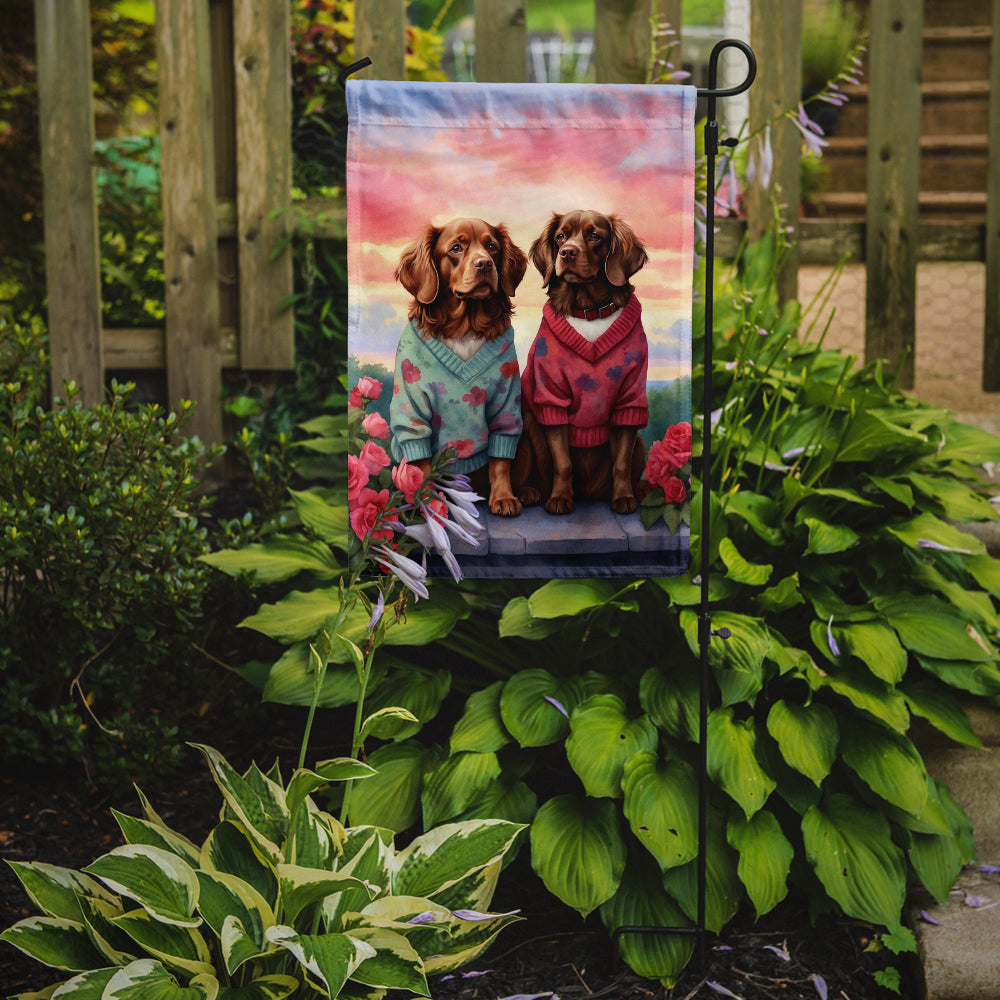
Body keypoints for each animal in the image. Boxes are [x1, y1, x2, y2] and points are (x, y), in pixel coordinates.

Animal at [390, 219, 532, 516]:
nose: (485, 264)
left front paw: (503, 497)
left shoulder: (505, 403)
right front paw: (428, 502)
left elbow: (500, 460)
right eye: (456, 248)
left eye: (492, 246)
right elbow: (422, 465)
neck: (464, 327)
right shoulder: (413, 411)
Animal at [520, 215, 652, 520]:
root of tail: (590, 494)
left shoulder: (629, 403)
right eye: (560, 236)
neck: (589, 311)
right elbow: (563, 462)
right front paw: (559, 498)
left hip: (640, 443)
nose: (567, 252)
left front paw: (624, 497)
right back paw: (530, 492)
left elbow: (621, 462)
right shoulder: (552, 401)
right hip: (528, 423)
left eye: (594, 236)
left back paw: (640, 490)